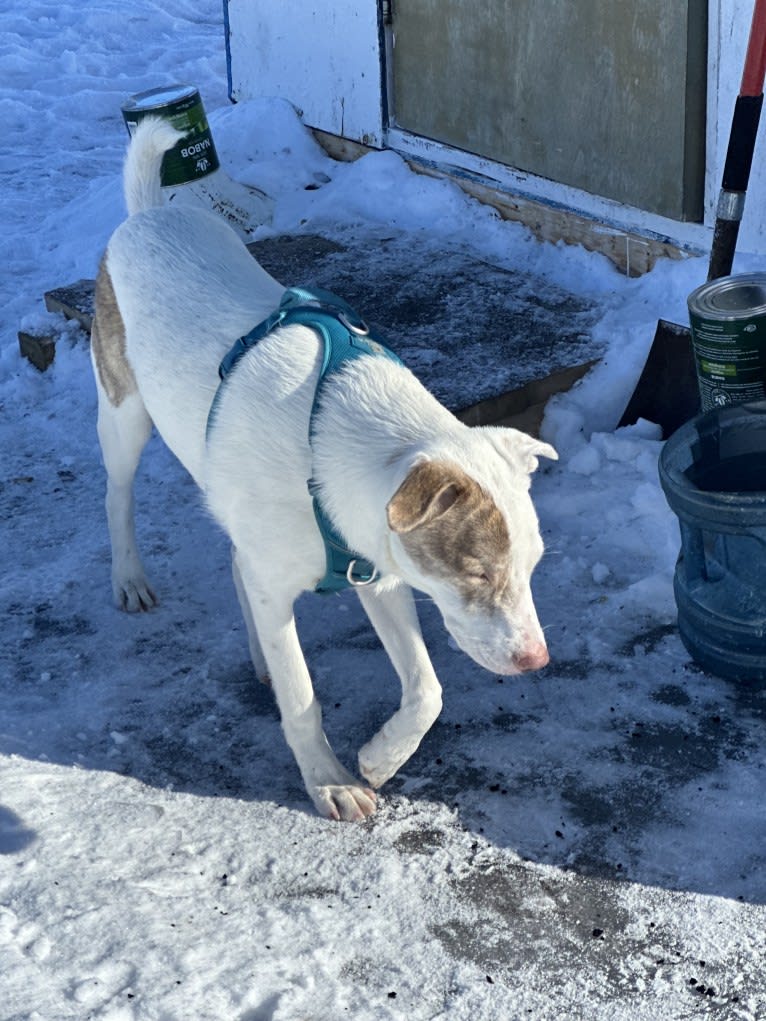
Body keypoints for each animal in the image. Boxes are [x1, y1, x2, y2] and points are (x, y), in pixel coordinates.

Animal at [91, 119, 559, 820]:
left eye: (533, 565)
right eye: (477, 571)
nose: (536, 660)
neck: (328, 448)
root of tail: (148, 215)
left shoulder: (380, 569)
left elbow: (427, 688)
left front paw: (381, 757)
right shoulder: (305, 577)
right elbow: (303, 697)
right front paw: (328, 781)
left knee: (237, 557)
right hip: (123, 416)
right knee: (119, 498)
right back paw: (130, 578)